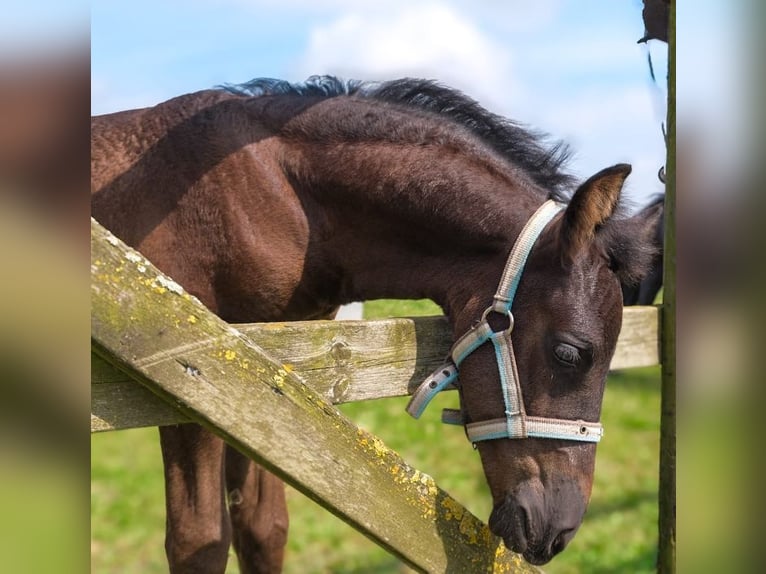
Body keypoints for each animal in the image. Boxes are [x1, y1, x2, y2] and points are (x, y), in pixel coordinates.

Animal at [93, 75, 660, 572]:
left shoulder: (264, 381)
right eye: (570, 352)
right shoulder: (188, 379)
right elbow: (200, 541)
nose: (558, 532)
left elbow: (263, 527)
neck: (277, 194)